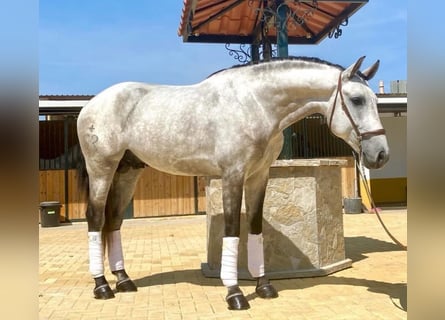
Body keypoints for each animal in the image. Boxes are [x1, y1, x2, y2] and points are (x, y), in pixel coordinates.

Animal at [77, 57, 388, 310]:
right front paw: (235, 293)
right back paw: (102, 286)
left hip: (127, 172)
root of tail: (91, 105)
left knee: (113, 221)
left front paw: (264, 286)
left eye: (374, 100)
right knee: (95, 218)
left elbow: (255, 225)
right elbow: (232, 228)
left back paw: (123, 280)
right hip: (102, 169)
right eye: (357, 99)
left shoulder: (259, 176)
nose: (381, 154)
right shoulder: (232, 175)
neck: (255, 105)